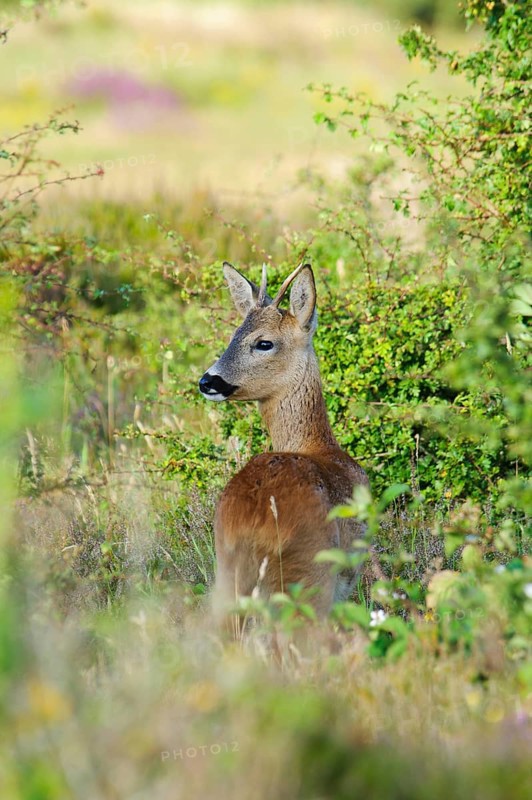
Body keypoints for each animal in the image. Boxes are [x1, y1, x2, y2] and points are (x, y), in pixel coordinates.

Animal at [199, 262, 369, 628]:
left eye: (263, 342)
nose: (207, 381)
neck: (316, 445)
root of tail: (253, 521)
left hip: (226, 575)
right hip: (309, 577)